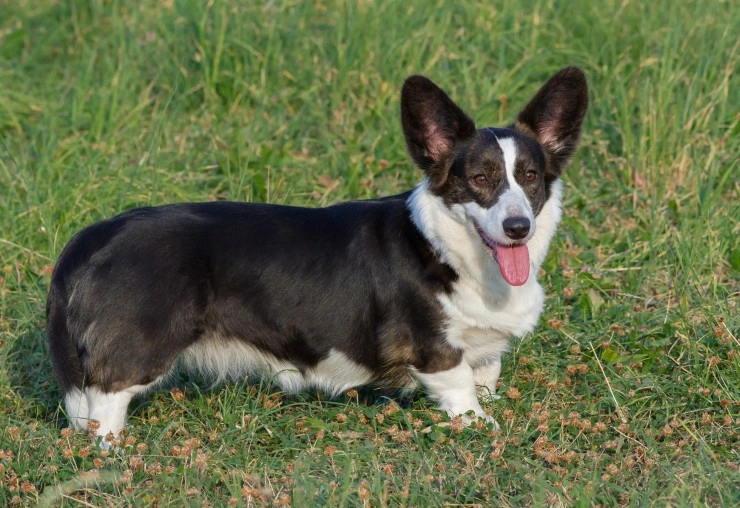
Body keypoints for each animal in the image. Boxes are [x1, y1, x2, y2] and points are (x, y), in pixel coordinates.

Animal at [46, 66, 588, 440]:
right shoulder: (436, 350)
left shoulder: (485, 351)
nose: (518, 228)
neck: (449, 251)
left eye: (531, 177)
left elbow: (485, 377)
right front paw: (481, 428)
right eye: (479, 179)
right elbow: (461, 391)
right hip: (140, 351)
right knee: (104, 406)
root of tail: (96, 235)